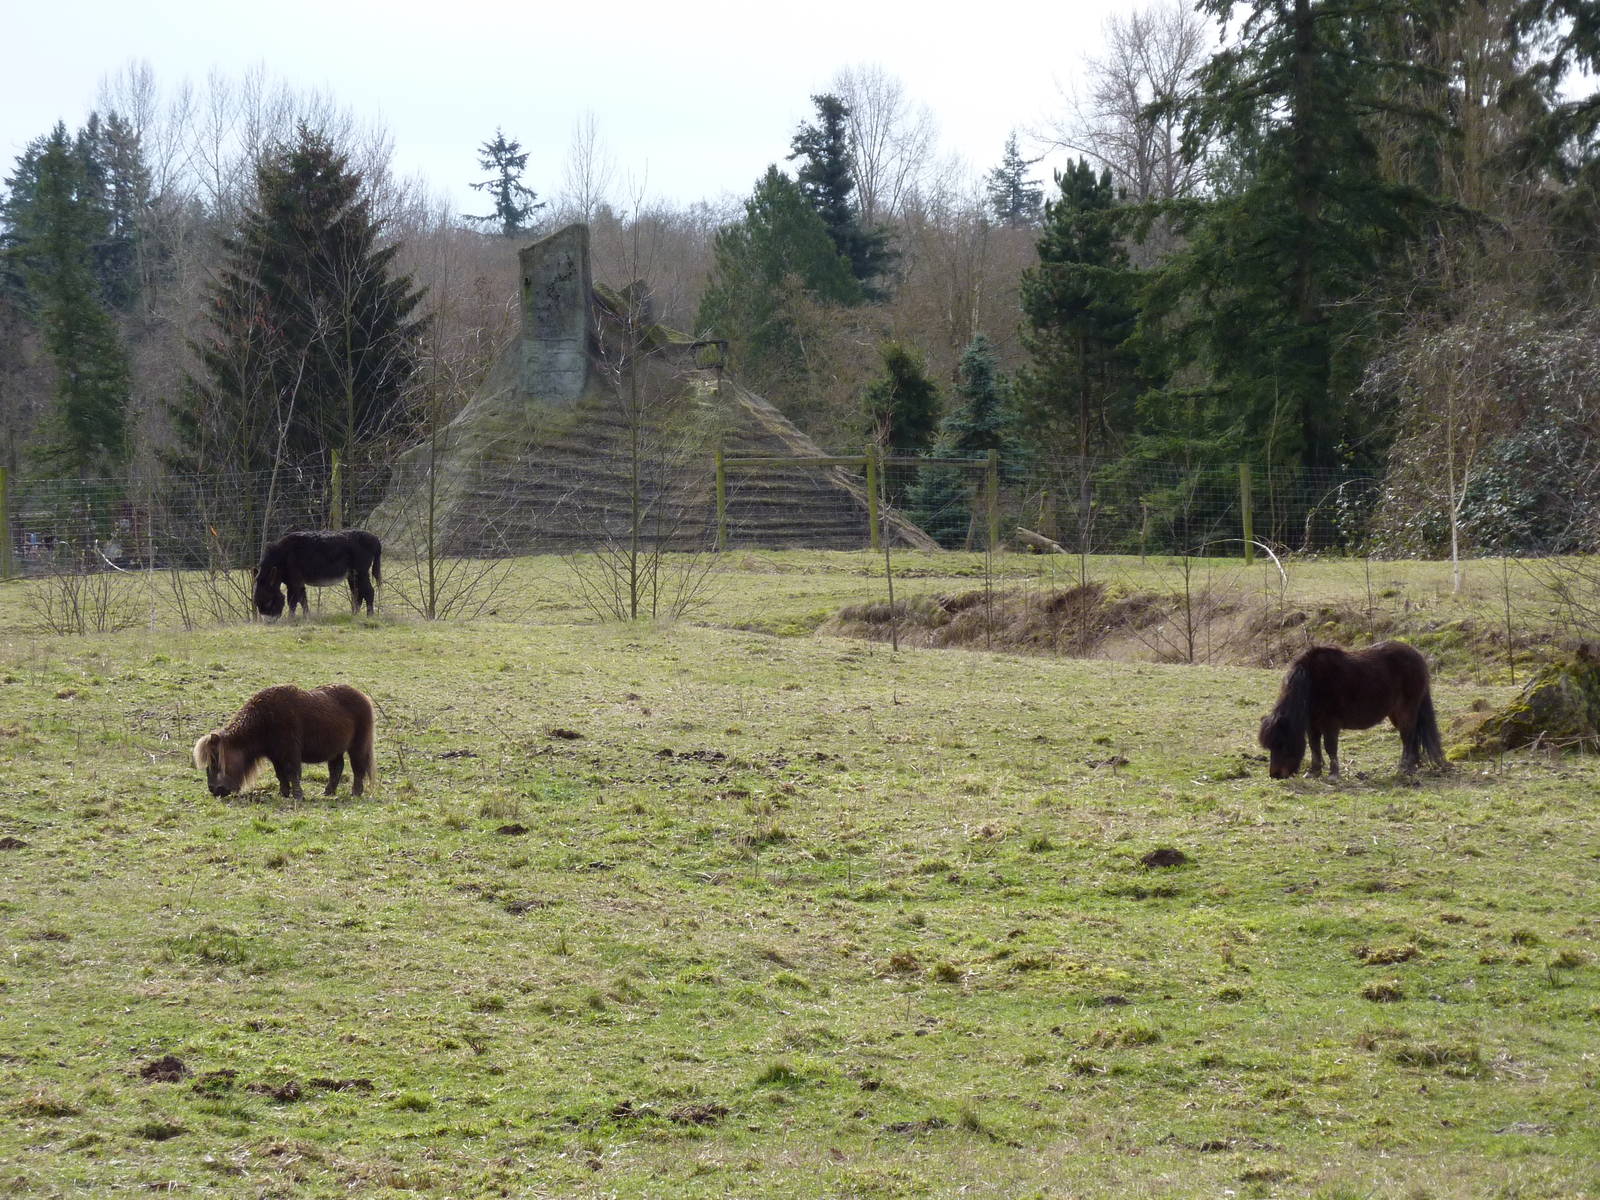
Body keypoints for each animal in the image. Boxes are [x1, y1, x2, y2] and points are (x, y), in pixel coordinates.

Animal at [193, 684, 376, 800]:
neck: (263, 720)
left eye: (215, 760)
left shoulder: (290, 753)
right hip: (335, 750)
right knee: (336, 768)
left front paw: (298, 795)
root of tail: (364, 698)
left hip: (357, 746)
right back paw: (328, 792)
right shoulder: (276, 756)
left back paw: (355, 793)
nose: (214, 790)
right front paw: (284, 793)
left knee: (358, 768)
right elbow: (280, 774)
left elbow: (292, 772)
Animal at [253, 529, 382, 618]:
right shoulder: (299, 583)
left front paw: (291, 619)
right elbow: (303, 600)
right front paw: (306, 617)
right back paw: (354, 615)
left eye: (269, 602)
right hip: (353, 575)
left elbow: (293, 601)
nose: (269, 622)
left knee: (368, 592)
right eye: (257, 603)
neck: (282, 556)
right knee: (357, 593)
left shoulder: (294, 582)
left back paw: (369, 616)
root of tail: (374, 538)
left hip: (361, 572)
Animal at [1258, 641, 1446, 779]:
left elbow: (1330, 747)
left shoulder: (1330, 724)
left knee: (1408, 737)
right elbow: (1314, 747)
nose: (1275, 775)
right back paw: (1412, 767)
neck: (1311, 683)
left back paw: (1404, 768)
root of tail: (1418, 656)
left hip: (1406, 710)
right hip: (1395, 713)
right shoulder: (1312, 725)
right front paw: (1314, 772)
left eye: (1282, 744)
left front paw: (1333, 775)